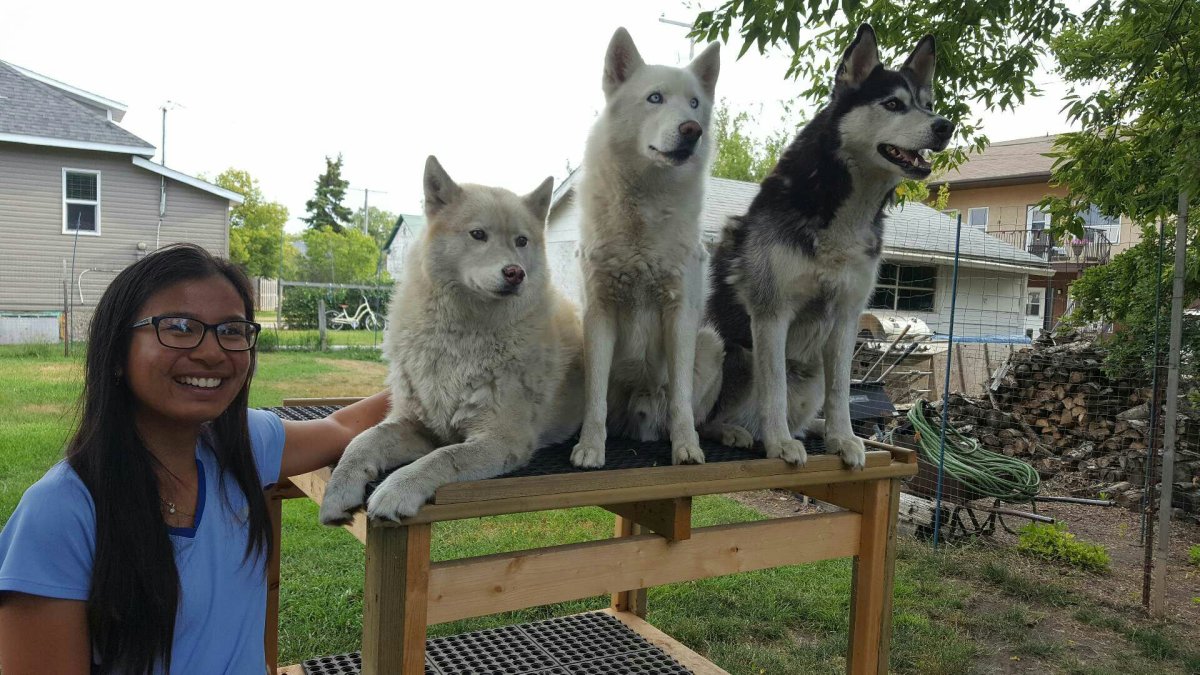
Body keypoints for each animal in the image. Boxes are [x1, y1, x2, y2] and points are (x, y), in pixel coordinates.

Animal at [319, 156, 585, 522]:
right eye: (478, 234)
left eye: (521, 241)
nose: (515, 273)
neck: (461, 338)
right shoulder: (419, 426)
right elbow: (363, 439)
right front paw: (339, 490)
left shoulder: (500, 440)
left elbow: (442, 458)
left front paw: (397, 490)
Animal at [569, 27, 725, 469]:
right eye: (655, 98)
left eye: (694, 103)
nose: (692, 129)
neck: (646, 203)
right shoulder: (599, 313)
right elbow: (594, 401)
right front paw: (590, 448)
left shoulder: (679, 314)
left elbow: (681, 401)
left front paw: (686, 448)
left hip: (710, 343)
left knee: (690, 409)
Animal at [703, 24, 954, 468]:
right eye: (893, 104)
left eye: (928, 105)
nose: (946, 125)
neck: (844, 210)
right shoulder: (771, 314)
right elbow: (773, 388)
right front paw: (780, 442)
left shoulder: (845, 318)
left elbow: (841, 391)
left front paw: (843, 437)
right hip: (730, 352)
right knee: (710, 420)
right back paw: (738, 431)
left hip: (812, 373)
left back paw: (813, 428)